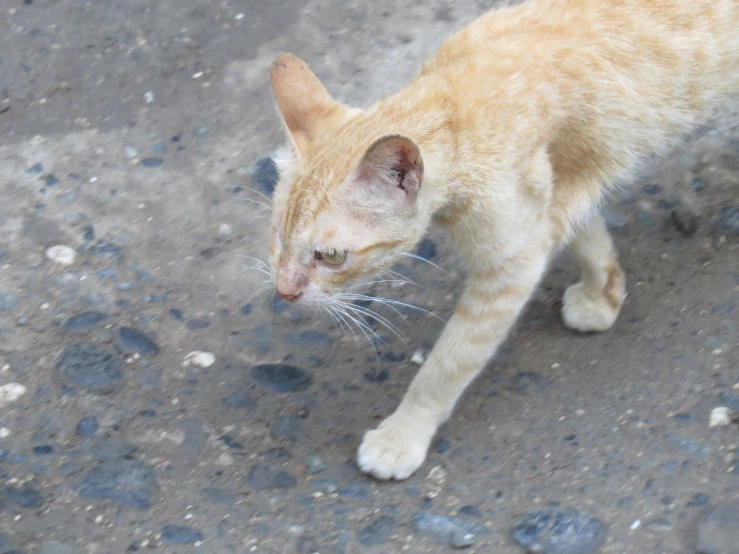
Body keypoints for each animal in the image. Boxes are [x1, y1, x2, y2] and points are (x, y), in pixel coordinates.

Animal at [264, 0, 739, 476]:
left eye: (331, 256)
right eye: (278, 238)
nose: (284, 293)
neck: (450, 102)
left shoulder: (510, 267)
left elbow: (445, 366)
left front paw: (403, 436)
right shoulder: (555, 203)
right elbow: (589, 241)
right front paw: (604, 297)